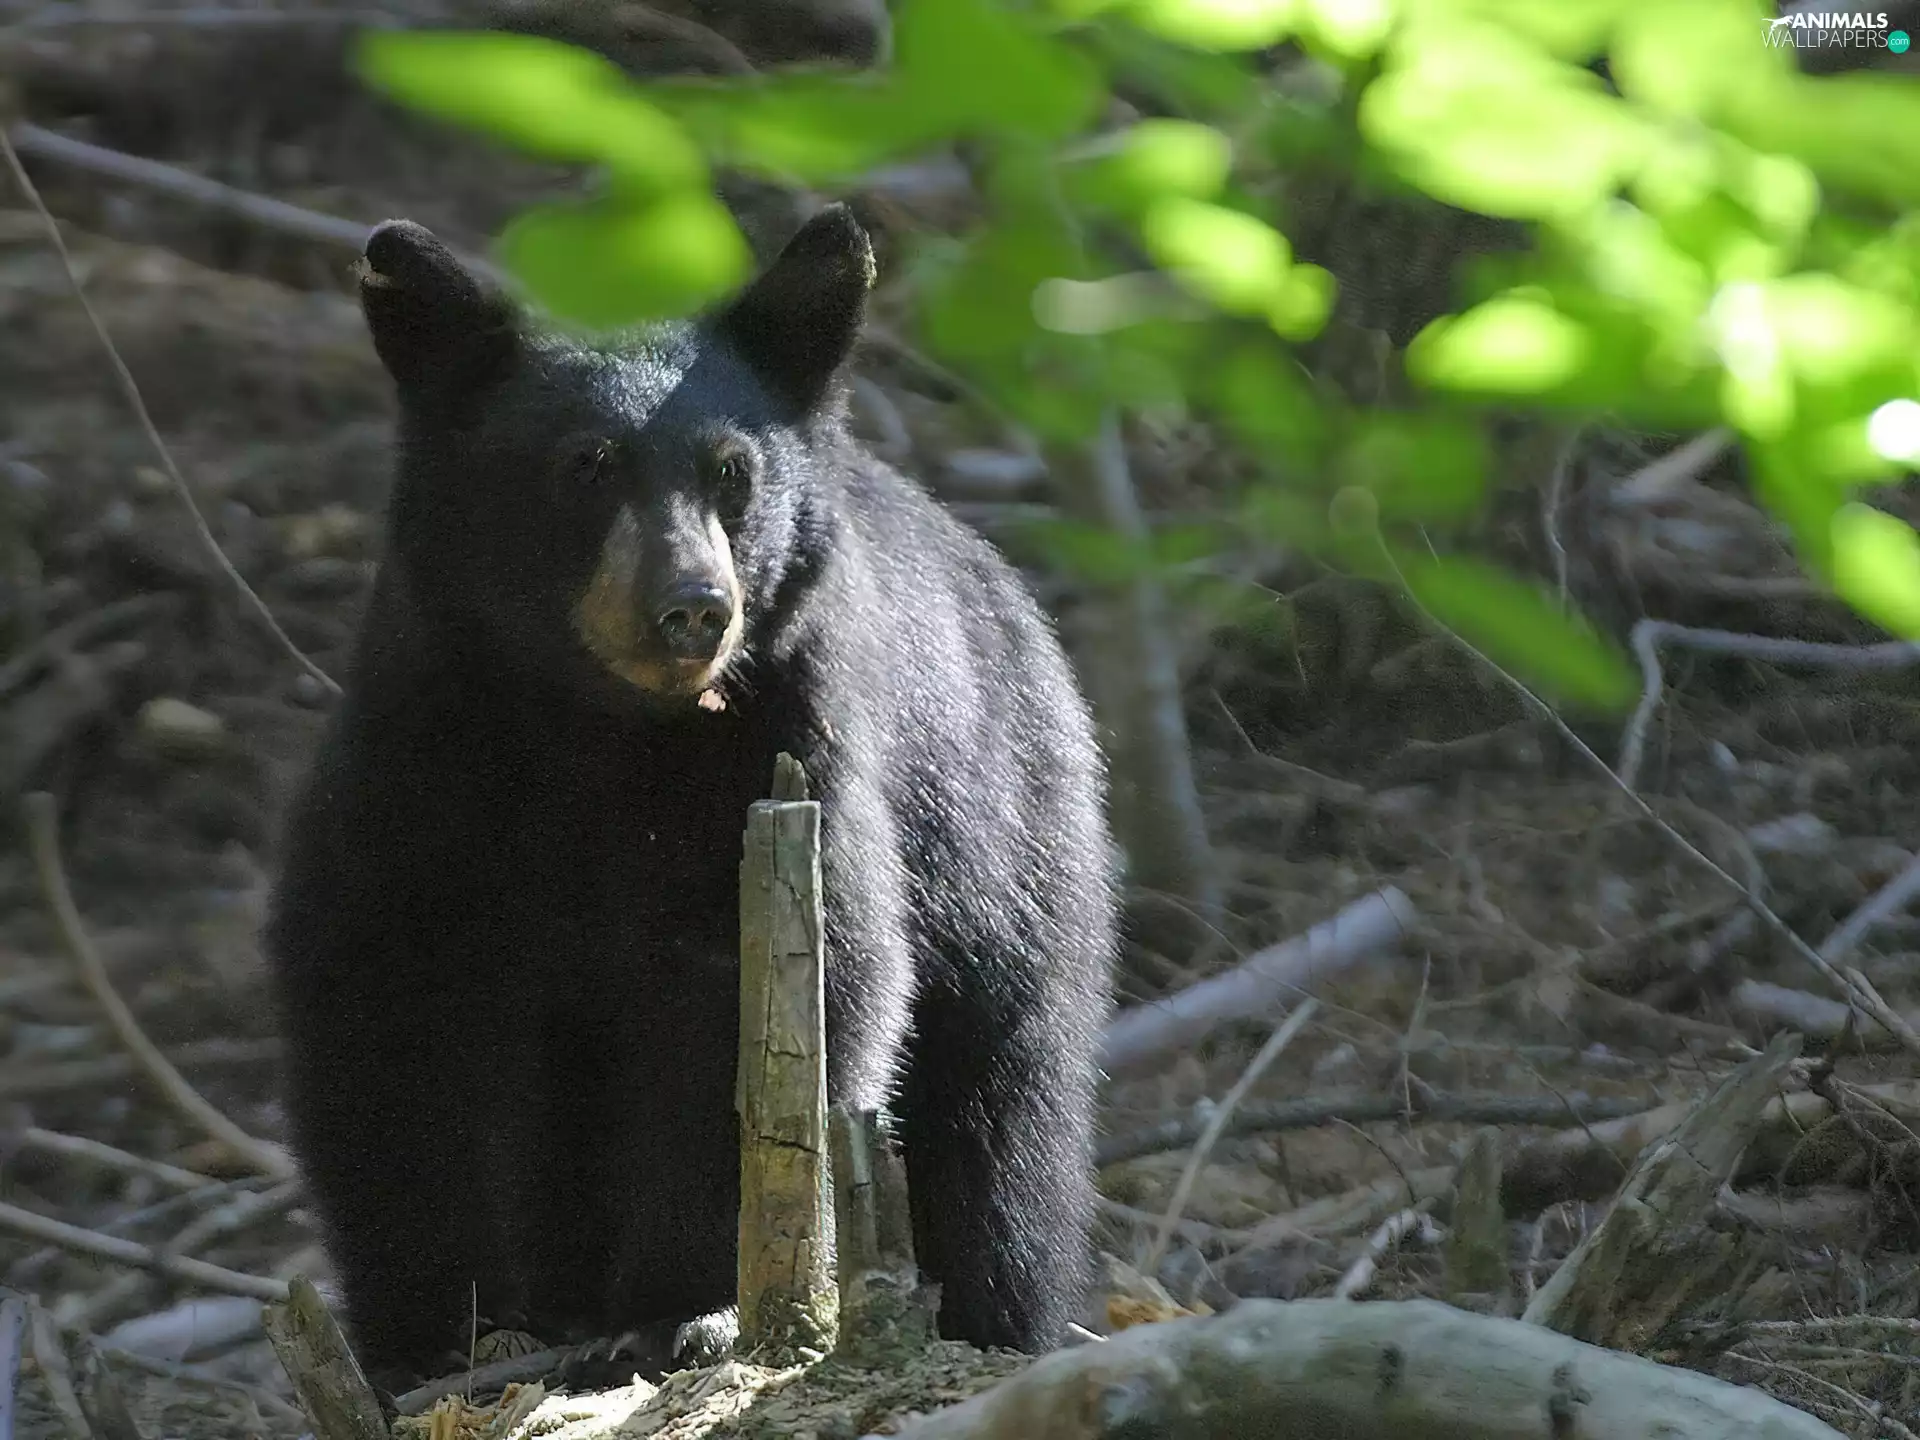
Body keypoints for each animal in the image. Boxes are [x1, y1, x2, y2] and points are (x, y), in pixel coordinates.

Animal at [262, 204, 1119, 1393]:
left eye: (731, 472)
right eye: (585, 464)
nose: (691, 609)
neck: (599, 732)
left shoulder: (783, 756)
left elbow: (766, 1002)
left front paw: (681, 1308)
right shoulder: (426, 752)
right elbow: (386, 1000)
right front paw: (439, 1333)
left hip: (1005, 840)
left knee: (1003, 1115)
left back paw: (995, 1311)